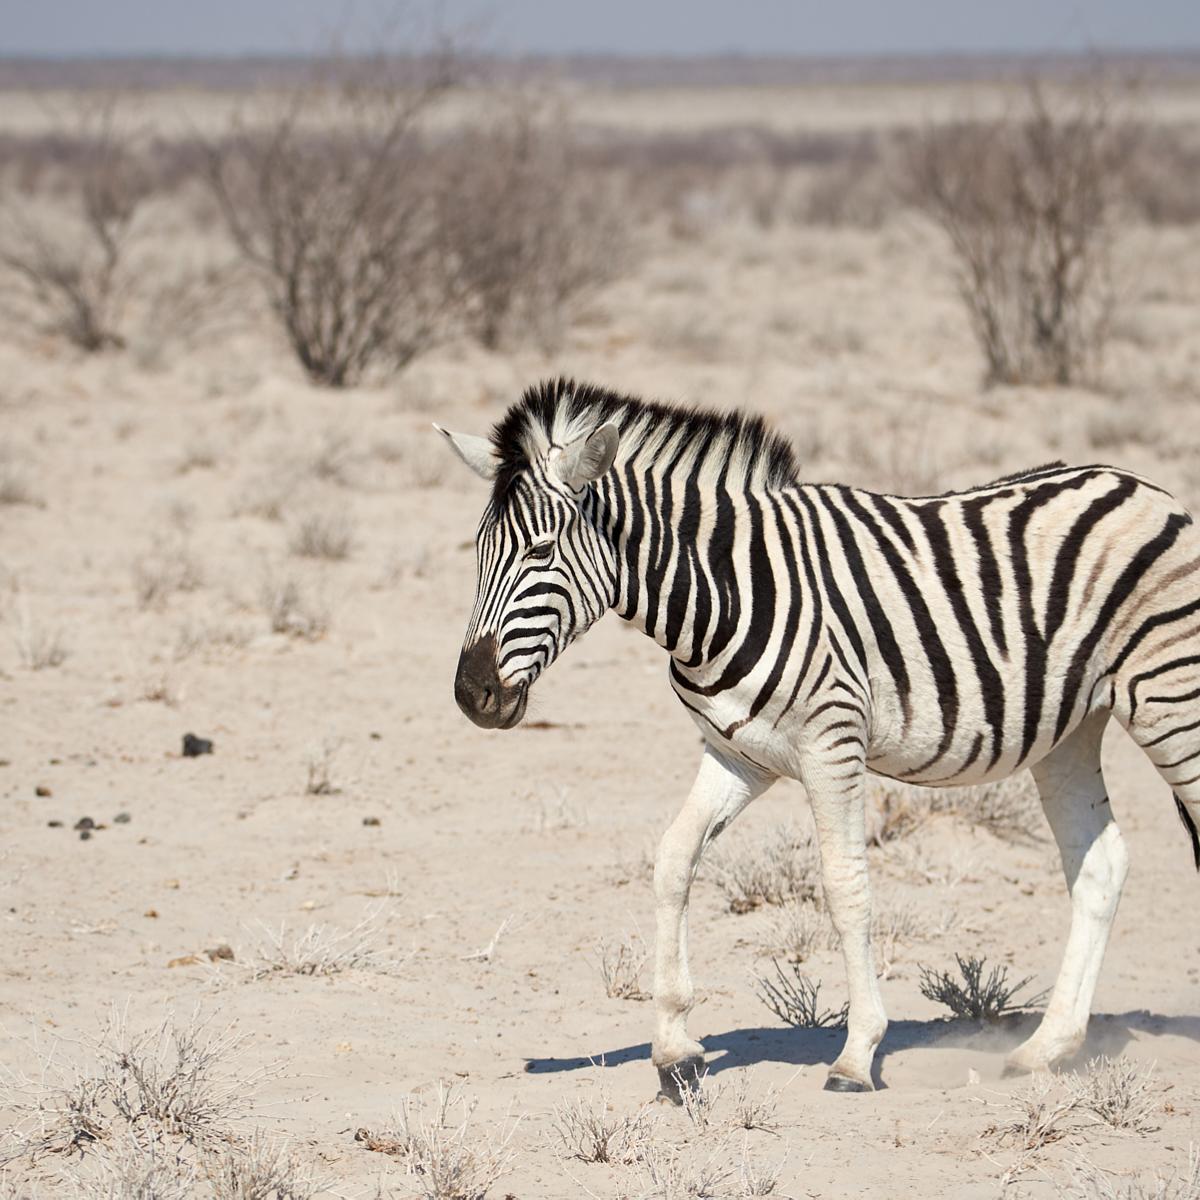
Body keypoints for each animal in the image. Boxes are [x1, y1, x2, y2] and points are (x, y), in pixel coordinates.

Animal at [437, 377, 1200, 1102]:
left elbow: (843, 885)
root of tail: (1141, 485)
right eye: (478, 552)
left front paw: (856, 1056)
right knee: (1100, 864)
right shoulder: (735, 756)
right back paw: (1046, 1049)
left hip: (1168, 700)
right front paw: (674, 1051)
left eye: (540, 552)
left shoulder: (834, 744)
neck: (722, 591)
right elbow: (673, 862)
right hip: (1070, 730)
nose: (472, 696)